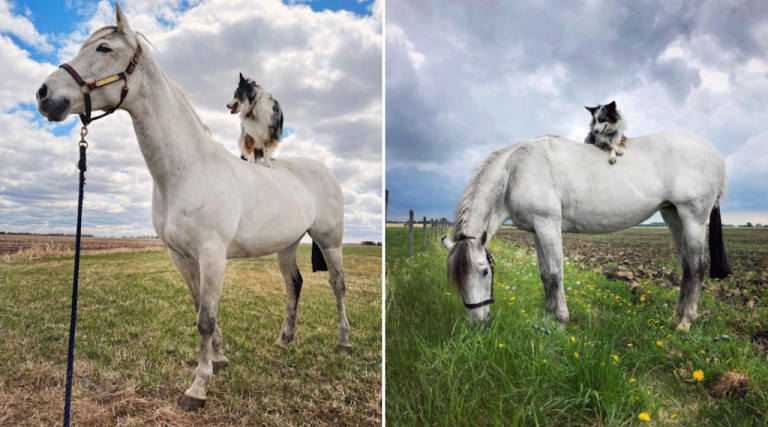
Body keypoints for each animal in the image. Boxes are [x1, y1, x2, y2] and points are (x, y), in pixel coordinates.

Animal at [34, 3, 350, 412]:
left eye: (104, 48)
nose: (44, 94)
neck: (187, 171)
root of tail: (323, 170)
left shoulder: (212, 254)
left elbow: (206, 318)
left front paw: (197, 387)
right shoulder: (182, 257)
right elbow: (201, 307)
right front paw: (219, 359)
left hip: (329, 241)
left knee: (337, 284)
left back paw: (343, 342)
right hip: (287, 244)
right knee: (293, 284)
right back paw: (284, 340)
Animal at [440, 134, 728, 332]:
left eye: (484, 272)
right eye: (456, 278)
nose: (478, 322)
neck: (516, 170)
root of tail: (715, 154)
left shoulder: (548, 224)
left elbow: (555, 274)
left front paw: (561, 321)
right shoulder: (537, 229)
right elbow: (544, 274)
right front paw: (547, 317)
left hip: (693, 217)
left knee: (698, 267)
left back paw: (686, 322)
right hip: (674, 216)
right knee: (687, 267)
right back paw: (675, 317)